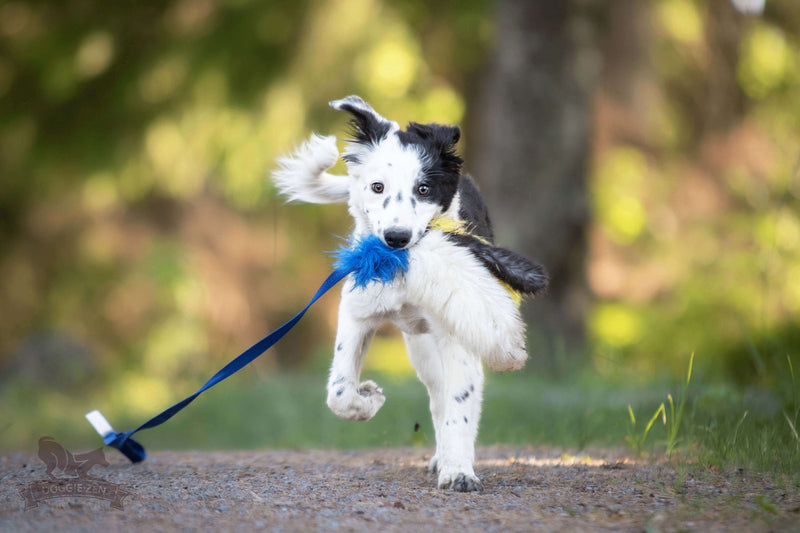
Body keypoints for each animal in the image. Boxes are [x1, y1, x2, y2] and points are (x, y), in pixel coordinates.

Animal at [272, 95, 548, 490]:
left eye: (424, 189)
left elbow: (460, 403)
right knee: (437, 396)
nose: (396, 238)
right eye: (377, 187)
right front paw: (368, 399)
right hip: (420, 350)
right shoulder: (357, 312)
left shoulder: (457, 327)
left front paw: (458, 471)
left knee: (451, 398)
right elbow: (339, 391)